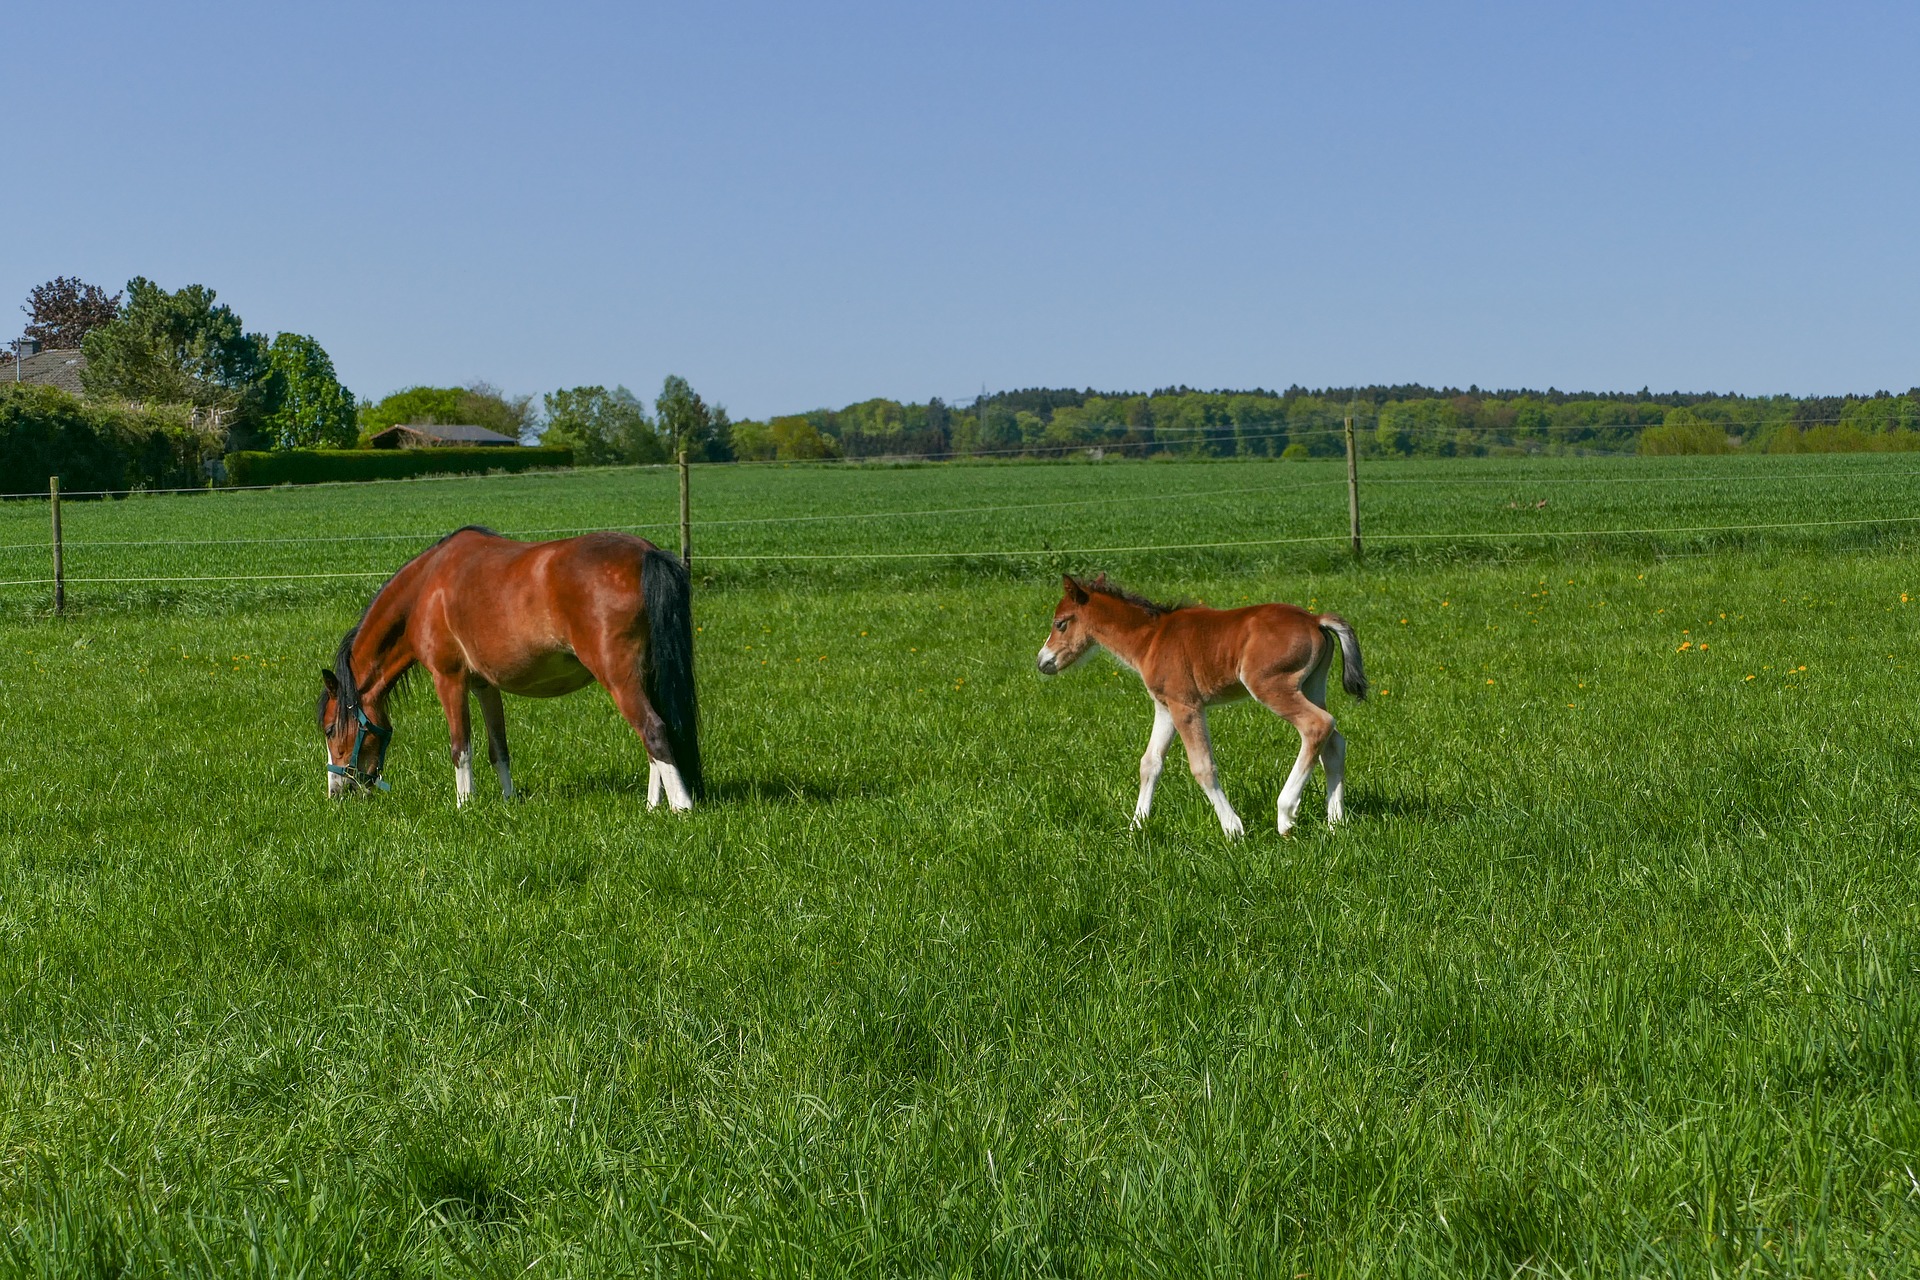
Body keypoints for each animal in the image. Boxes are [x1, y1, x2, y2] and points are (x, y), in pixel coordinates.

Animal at [314, 529, 706, 809]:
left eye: (330, 729)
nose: (336, 792)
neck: (426, 589)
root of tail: (647, 554)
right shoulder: (484, 685)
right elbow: (498, 747)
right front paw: (508, 799)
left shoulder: (449, 680)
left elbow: (461, 747)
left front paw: (465, 806)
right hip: (645, 675)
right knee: (657, 736)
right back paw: (652, 806)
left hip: (619, 677)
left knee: (653, 730)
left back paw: (681, 808)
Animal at [1036, 579, 1367, 840]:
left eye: (1060, 623)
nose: (1043, 662)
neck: (1151, 639)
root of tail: (1315, 619)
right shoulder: (1165, 706)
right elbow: (1150, 763)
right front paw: (1136, 827)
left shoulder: (1187, 705)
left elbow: (1202, 766)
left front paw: (1232, 828)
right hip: (1312, 685)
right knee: (1334, 742)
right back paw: (1335, 822)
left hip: (1271, 686)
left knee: (1317, 726)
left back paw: (1286, 815)